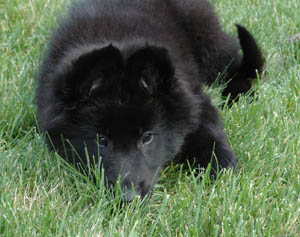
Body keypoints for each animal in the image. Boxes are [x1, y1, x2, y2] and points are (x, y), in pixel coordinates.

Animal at [37, 0, 262, 201]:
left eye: (147, 137)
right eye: (101, 140)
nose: (128, 198)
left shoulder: (195, 100)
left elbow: (210, 130)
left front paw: (221, 165)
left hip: (208, 41)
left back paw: (239, 95)